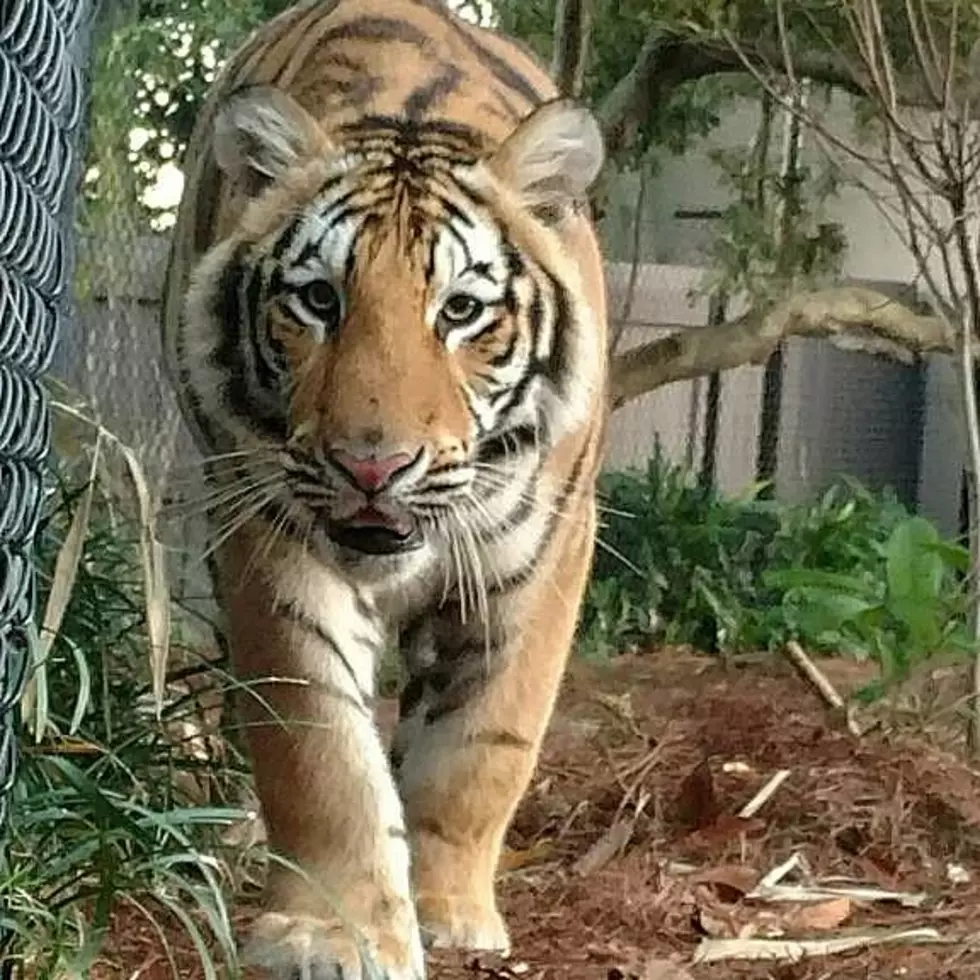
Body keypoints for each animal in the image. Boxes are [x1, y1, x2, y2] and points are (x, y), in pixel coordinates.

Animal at [158, 0, 608, 976]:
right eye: (319, 301)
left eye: (462, 311)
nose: (374, 466)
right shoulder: (271, 540)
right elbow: (318, 747)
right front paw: (333, 931)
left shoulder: (545, 556)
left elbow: (484, 746)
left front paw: (448, 910)